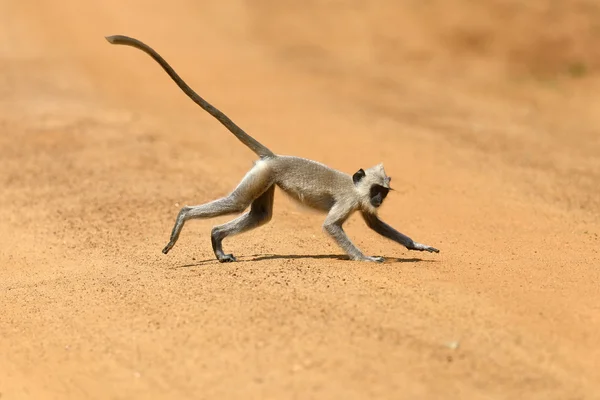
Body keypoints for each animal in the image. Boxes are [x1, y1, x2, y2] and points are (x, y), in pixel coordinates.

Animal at [105, 35, 438, 262]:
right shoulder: (347, 200)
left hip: (266, 179)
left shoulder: (362, 204)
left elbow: (376, 224)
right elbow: (331, 226)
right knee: (236, 203)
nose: (379, 199)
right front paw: (365, 258)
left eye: (383, 192)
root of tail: (274, 157)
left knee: (259, 215)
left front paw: (416, 245)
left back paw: (217, 241)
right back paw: (186, 217)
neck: (356, 188)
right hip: (263, 175)